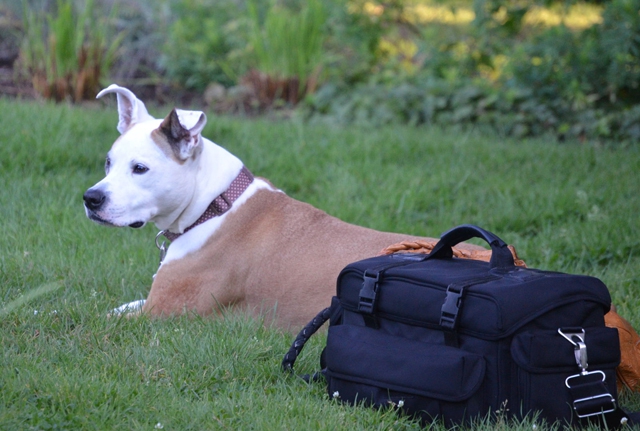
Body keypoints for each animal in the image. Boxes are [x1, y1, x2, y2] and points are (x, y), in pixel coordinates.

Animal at [82, 85, 480, 330]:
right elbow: (113, 306)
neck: (215, 205)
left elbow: (87, 318)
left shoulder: (160, 313)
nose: (91, 198)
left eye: (140, 168)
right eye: (108, 162)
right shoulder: (149, 303)